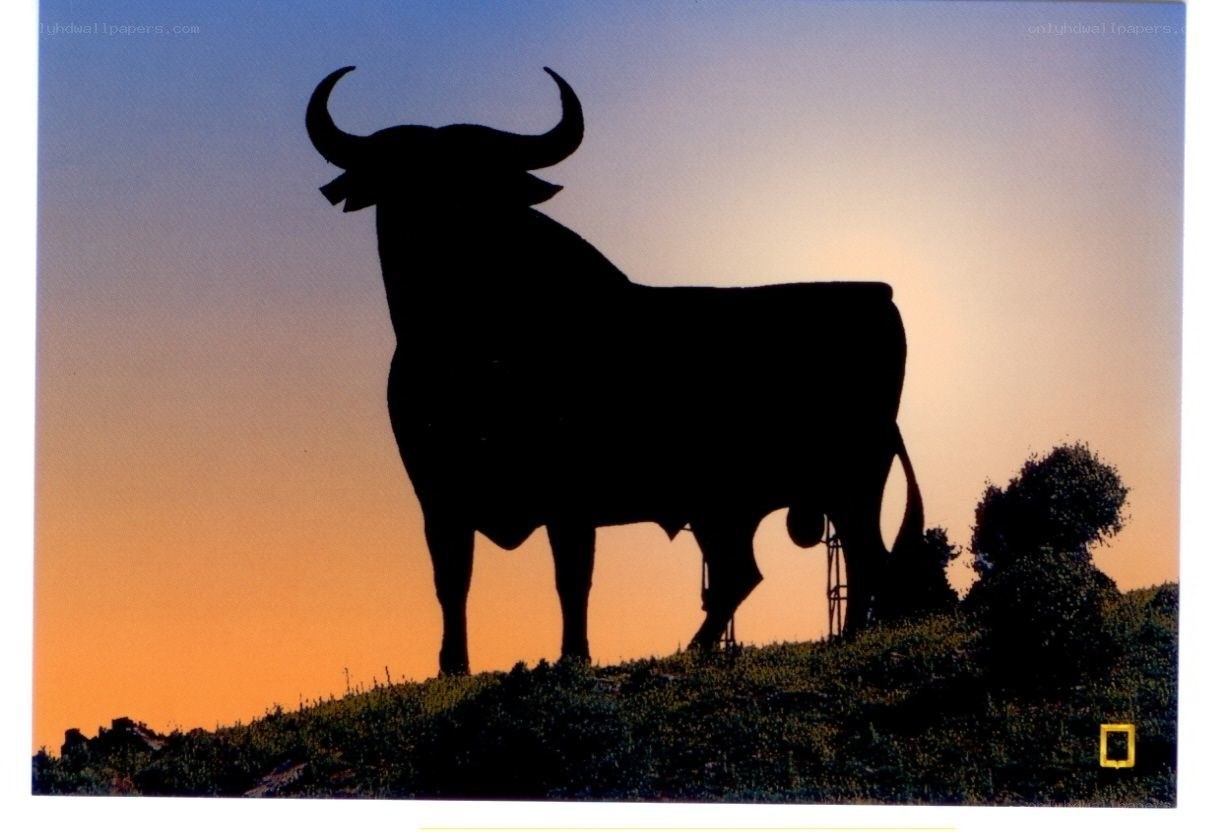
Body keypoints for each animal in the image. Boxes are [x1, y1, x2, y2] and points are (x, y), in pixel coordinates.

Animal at [306, 66, 924, 674]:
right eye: (401, 179)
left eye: (484, 183)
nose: (442, 229)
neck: (471, 345)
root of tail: (878, 295)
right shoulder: (438, 494)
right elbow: (452, 579)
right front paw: (452, 668)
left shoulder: (570, 493)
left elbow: (572, 576)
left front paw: (573, 656)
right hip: (735, 507)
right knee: (745, 572)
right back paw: (702, 647)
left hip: (852, 478)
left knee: (865, 558)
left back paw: (842, 638)